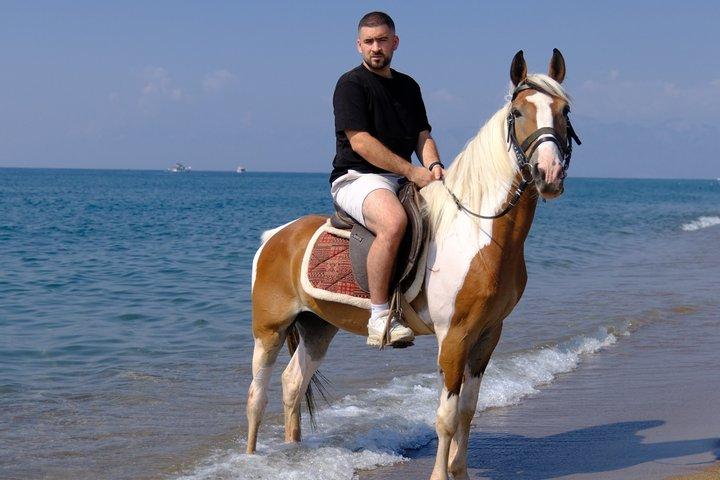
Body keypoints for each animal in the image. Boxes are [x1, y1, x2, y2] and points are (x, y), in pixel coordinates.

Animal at [246, 49, 580, 480]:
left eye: (564, 111)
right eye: (518, 112)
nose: (549, 174)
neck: (479, 231)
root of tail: (275, 237)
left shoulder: (488, 334)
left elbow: (468, 410)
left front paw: (460, 471)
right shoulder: (454, 336)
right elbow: (447, 415)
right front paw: (441, 475)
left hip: (318, 328)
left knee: (292, 384)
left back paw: (294, 455)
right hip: (269, 331)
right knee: (256, 396)